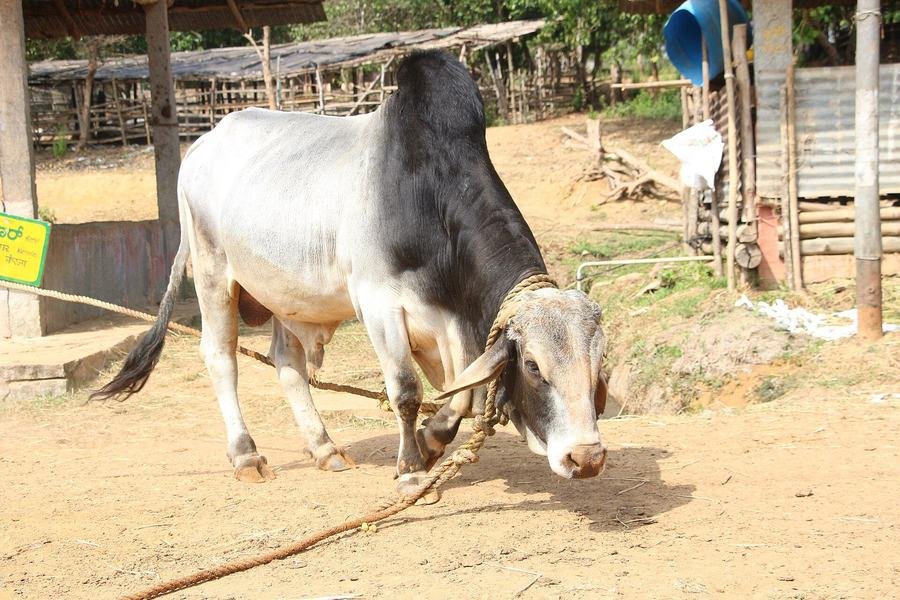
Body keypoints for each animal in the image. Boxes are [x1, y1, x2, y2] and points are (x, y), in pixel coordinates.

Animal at [93, 51, 608, 496]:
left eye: (598, 363)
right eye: (534, 367)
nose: (586, 459)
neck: (428, 193)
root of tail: (204, 141)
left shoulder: (455, 320)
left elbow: (464, 393)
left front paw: (430, 441)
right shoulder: (378, 303)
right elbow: (405, 391)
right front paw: (410, 470)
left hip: (284, 296)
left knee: (287, 364)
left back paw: (324, 448)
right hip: (212, 273)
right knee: (222, 357)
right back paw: (246, 455)